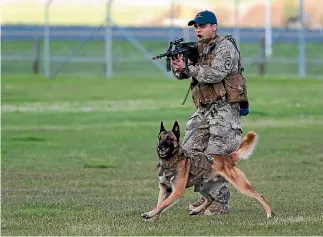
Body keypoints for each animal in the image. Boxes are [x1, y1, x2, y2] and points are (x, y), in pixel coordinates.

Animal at [140, 121, 274, 219]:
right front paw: (154, 219)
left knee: (260, 195)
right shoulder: (164, 189)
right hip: (201, 186)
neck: (171, 161)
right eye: (160, 138)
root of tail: (228, 157)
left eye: (169, 138)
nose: (160, 147)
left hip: (241, 185)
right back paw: (196, 210)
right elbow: (159, 204)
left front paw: (149, 214)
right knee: (210, 199)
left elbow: (162, 204)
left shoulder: (177, 191)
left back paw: (269, 213)